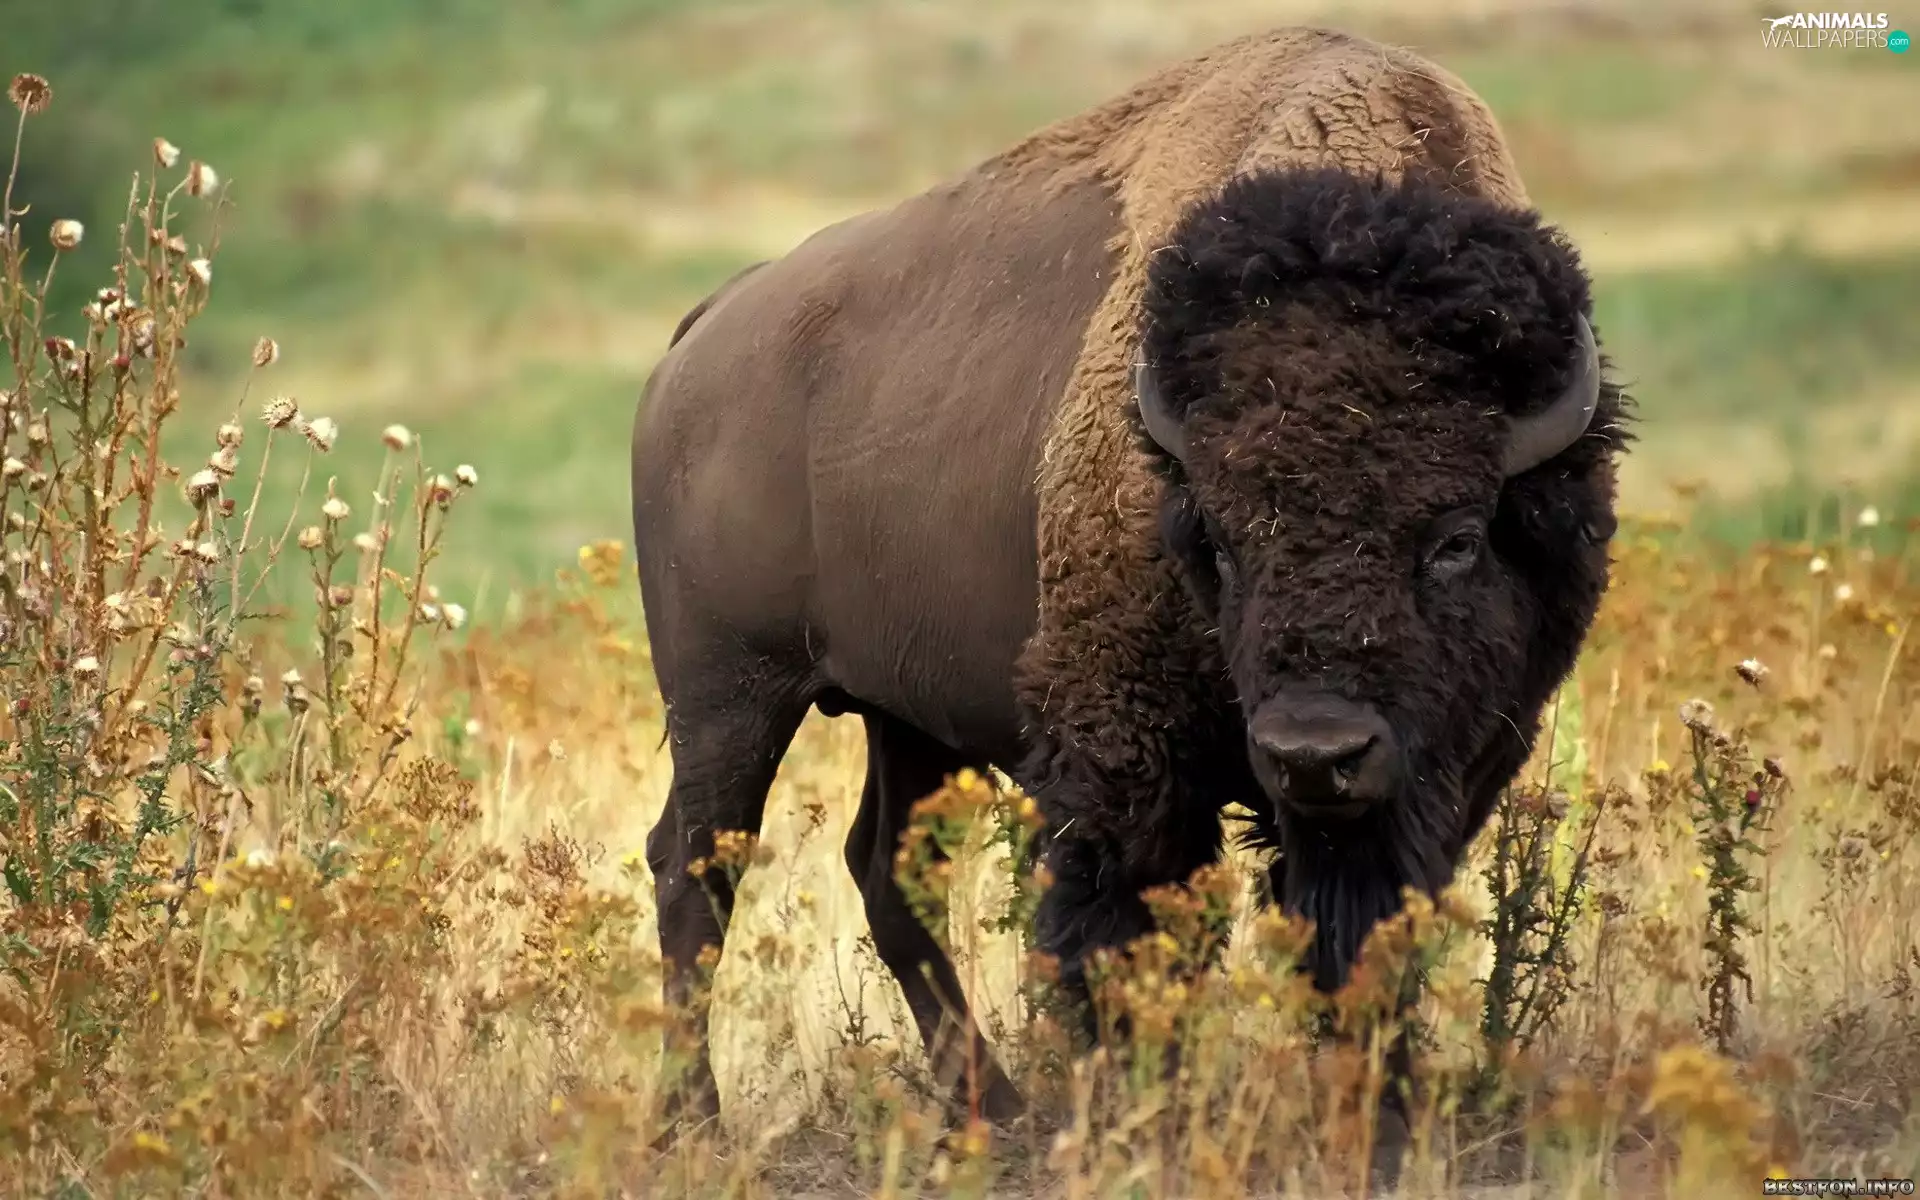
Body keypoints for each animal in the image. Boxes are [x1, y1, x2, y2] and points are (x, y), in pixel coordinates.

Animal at [630, 24, 1629, 1137]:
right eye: (1221, 542)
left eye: (1455, 538)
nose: (1315, 754)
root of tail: (707, 330)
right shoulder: (1126, 758)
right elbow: (1128, 934)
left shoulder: (1445, 771)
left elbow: (1364, 937)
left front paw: (1379, 1116)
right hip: (729, 696)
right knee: (695, 867)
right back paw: (697, 1124)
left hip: (904, 714)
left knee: (884, 870)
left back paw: (994, 1112)